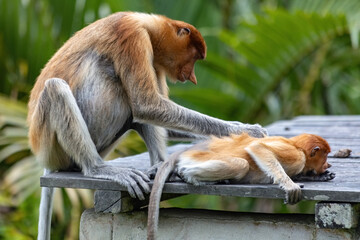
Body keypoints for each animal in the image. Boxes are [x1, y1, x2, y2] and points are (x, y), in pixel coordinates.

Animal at [27, 12, 268, 240]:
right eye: (194, 57)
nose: (192, 77)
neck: (146, 25)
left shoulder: (154, 61)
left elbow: (153, 112)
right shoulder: (133, 37)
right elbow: (147, 104)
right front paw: (246, 130)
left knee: (136, 115)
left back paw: (161, 167)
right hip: (52, 145)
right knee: (56, 87)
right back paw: (99, 168)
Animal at [148, 134, 334, 239]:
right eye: (325, 156)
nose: (328, 164)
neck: (297, 145)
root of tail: (186, 152)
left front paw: (321, 176)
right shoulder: (296, 156)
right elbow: (258, 147)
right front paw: (290, 185)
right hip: (199, 158)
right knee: (241, 164)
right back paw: (188, 175)